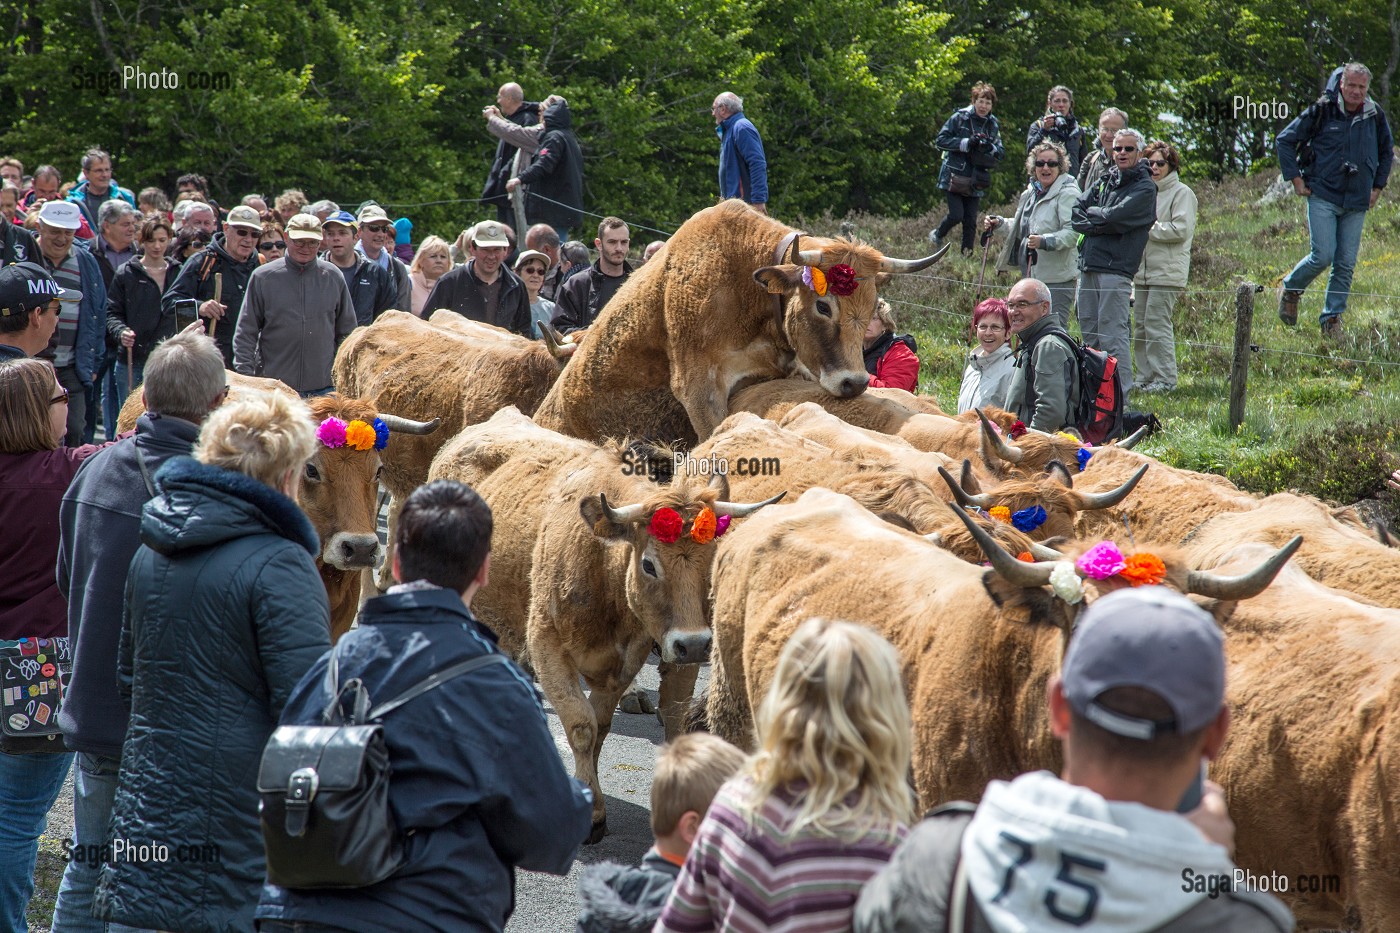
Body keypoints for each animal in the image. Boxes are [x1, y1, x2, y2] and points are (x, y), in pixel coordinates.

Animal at [427, 406, 781, 842]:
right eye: (649, 564)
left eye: (712, 561)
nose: (695, 645)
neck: (601, 564)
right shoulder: (546, 645)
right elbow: (581, 725)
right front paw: (592, 814)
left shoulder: (623, 662)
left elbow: (601, 725)